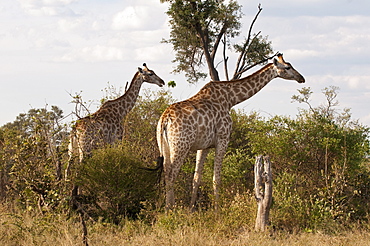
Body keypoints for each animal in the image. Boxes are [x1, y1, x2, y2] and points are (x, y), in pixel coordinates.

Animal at [156, 53, 304, 209]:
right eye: (287, 67)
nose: (301, 78)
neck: (230, 99)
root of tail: (165, 119)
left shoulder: (204, 146)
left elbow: (196, 178)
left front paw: (191, 209)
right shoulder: (223, 139)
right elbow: (216, 178)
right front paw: (217, 210)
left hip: (165, 146)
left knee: (166, 172)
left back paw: (169, 207)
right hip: (181, 146)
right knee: (171, 174)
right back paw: (170, 209)